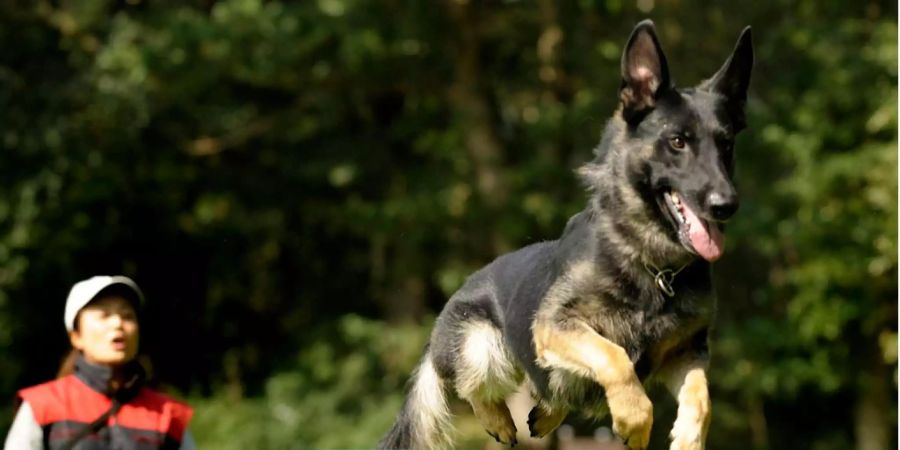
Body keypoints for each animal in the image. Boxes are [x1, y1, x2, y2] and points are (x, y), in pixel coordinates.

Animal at [378, 19, 752, 450]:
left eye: (727, 145)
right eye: (677, 142)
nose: (727, 205)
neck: (653, 267)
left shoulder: (686, 352)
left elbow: (701, 397)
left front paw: (687, 438)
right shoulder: (556, 326)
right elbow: (614, 357)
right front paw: (635, 418)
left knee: (551, 390)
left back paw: (547, 413)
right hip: (481, 347)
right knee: (476, 389)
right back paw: (499, 419)